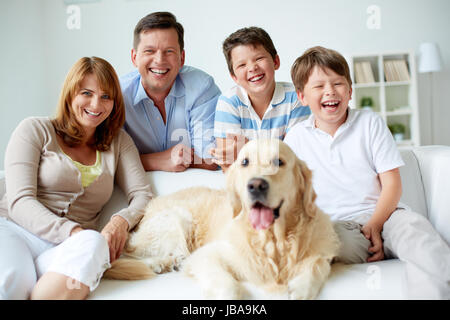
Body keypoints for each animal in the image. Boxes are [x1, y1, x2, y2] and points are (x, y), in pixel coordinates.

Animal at [104, 139, 338, 298]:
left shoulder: (321, 252)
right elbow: (229, 286)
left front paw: (299, 289)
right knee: (125, 254)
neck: (272, 240)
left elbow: (318, 265)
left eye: (278, 162)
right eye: (245, 162)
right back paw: (158, 263)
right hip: (177, 219)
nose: (256, 185)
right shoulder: (207, 256)